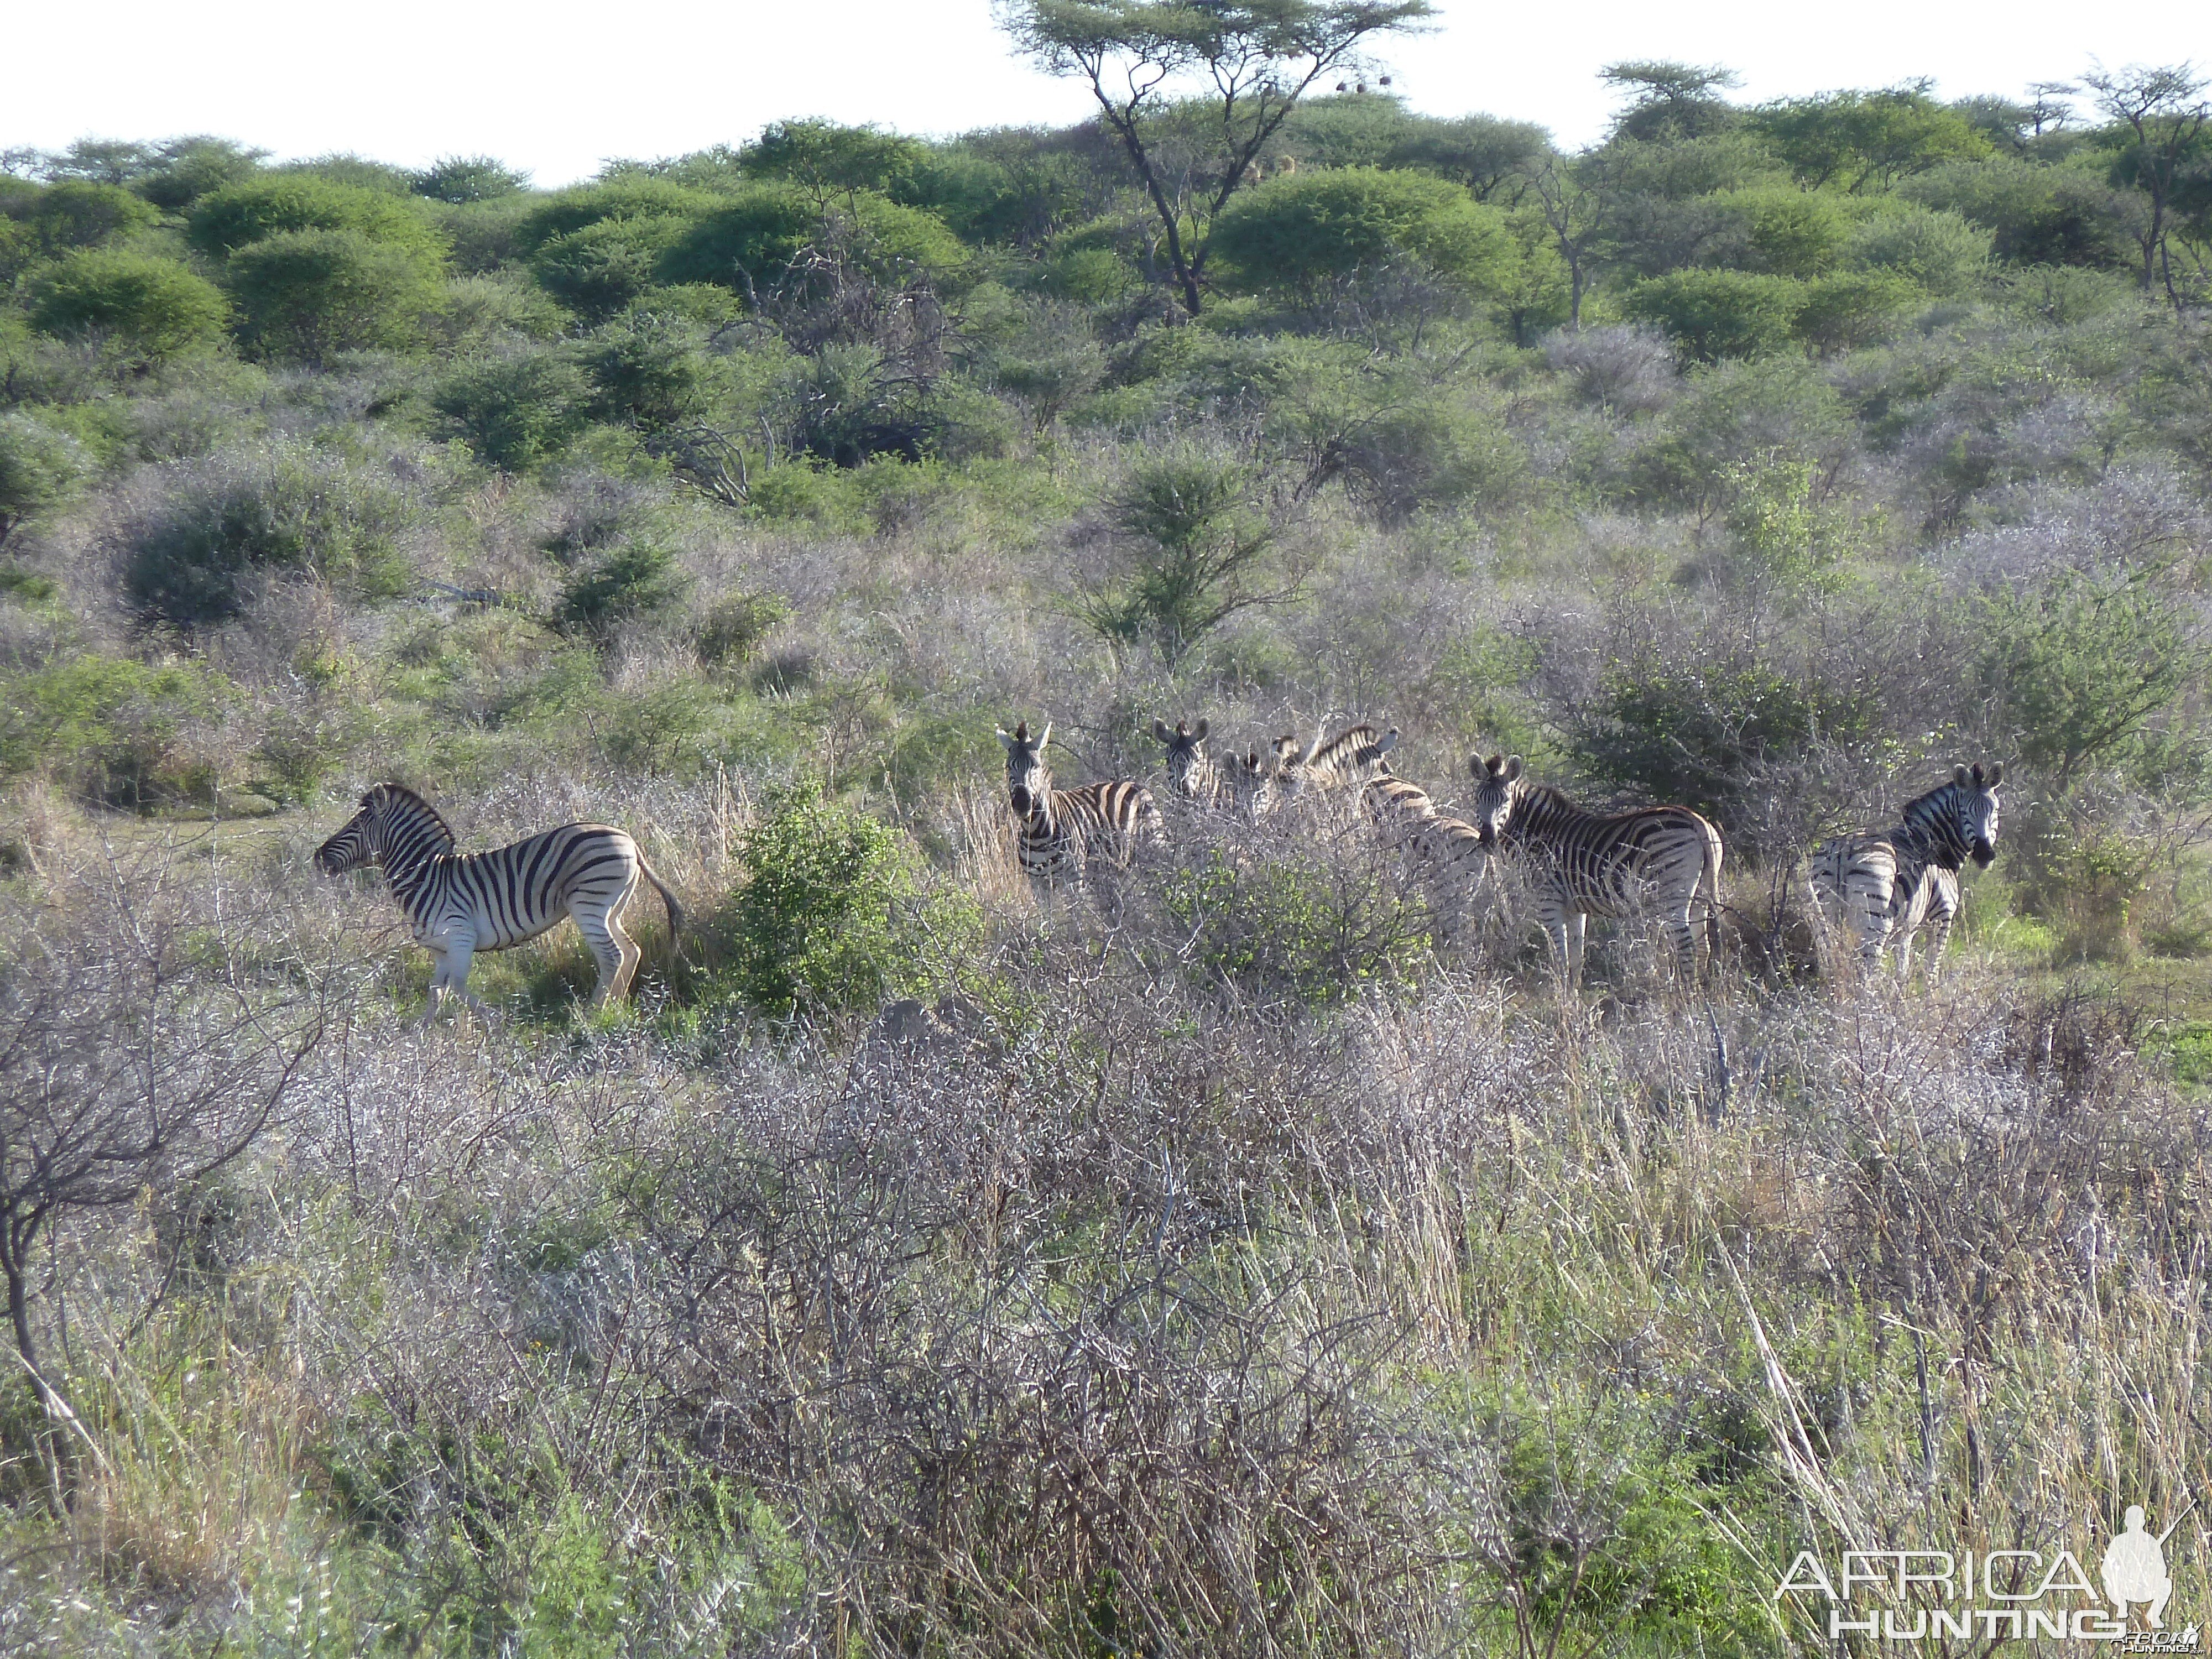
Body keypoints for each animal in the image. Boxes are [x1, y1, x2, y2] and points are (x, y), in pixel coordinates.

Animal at [314, 783, 681, 1026]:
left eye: (355, 826)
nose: (318, 856)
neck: (426, 876)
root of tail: (630, 840)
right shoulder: (440, 950)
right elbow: (436, 993)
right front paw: (420, 1035)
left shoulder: (460, 936)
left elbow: (458, 988)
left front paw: (498, 1020)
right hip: (611, 908)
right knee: (631, 951)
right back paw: (615, 1008)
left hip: (588, 904)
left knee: (612, 956)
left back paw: (593, 1012)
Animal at [1009, 721, 1177, 889]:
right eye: (1008, 767)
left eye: (1035, 766)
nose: (1022, 803)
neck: (1036, 834)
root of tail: (1138, 786)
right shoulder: (1037, 884)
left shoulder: (1074, 880)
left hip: (1153, 848)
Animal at [1469, 761, 1725, 995]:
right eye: (1478, 799)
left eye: (1504, 801)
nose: (1487, 840)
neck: (1540, 833)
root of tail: (1696, 820)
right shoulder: (1575, 907)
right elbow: (1576, 956)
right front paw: (1572, 997)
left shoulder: (1548, 901)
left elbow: (1561, 956)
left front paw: (1560, 996)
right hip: (1700, 895)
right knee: (1703, 945)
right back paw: (1698, 993)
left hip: (1672, 893)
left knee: (1687, 947)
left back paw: (1686, 999)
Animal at [1814, 770, 2008, 987]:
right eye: (1965, 812)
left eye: (1995, 810)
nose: (1985, 855)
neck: (1934, 847)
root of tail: (1844, 848)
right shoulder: (1942, 918)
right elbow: (1931, 971)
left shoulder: (1906, 930)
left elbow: (1902, 970)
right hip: (1875, 918)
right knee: (1866, 973)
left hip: (1826, 915)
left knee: (1832, 964)